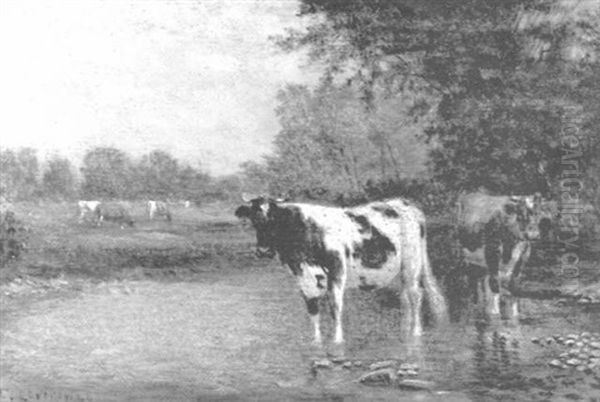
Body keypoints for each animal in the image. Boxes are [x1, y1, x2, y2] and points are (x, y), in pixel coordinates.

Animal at [234, 193, 446, 344]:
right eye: (253, 220)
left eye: (274, 219)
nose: (263, 251)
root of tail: (405, 203)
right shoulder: (303, 278)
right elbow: (312, 309)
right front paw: (316, 342)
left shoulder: (337, 271)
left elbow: (335, 307)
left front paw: (337, 341)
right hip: (401, 269)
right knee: (404, 297)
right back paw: (404, 330)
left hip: (412, 262)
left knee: (415, 295)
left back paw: (416, 332)